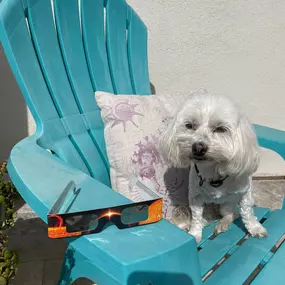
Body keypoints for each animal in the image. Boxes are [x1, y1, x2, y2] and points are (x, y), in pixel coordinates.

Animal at [160, 90, 266, 242]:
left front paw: (255, 228)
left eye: (221, 129)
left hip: (227, 204)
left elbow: (247, 212)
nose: (198, 148)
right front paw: (195, 234)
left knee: (233, 213)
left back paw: (223, 223)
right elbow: (196, 218)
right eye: (189, 125)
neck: (213, 171)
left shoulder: (245, 192)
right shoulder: (195, 198)